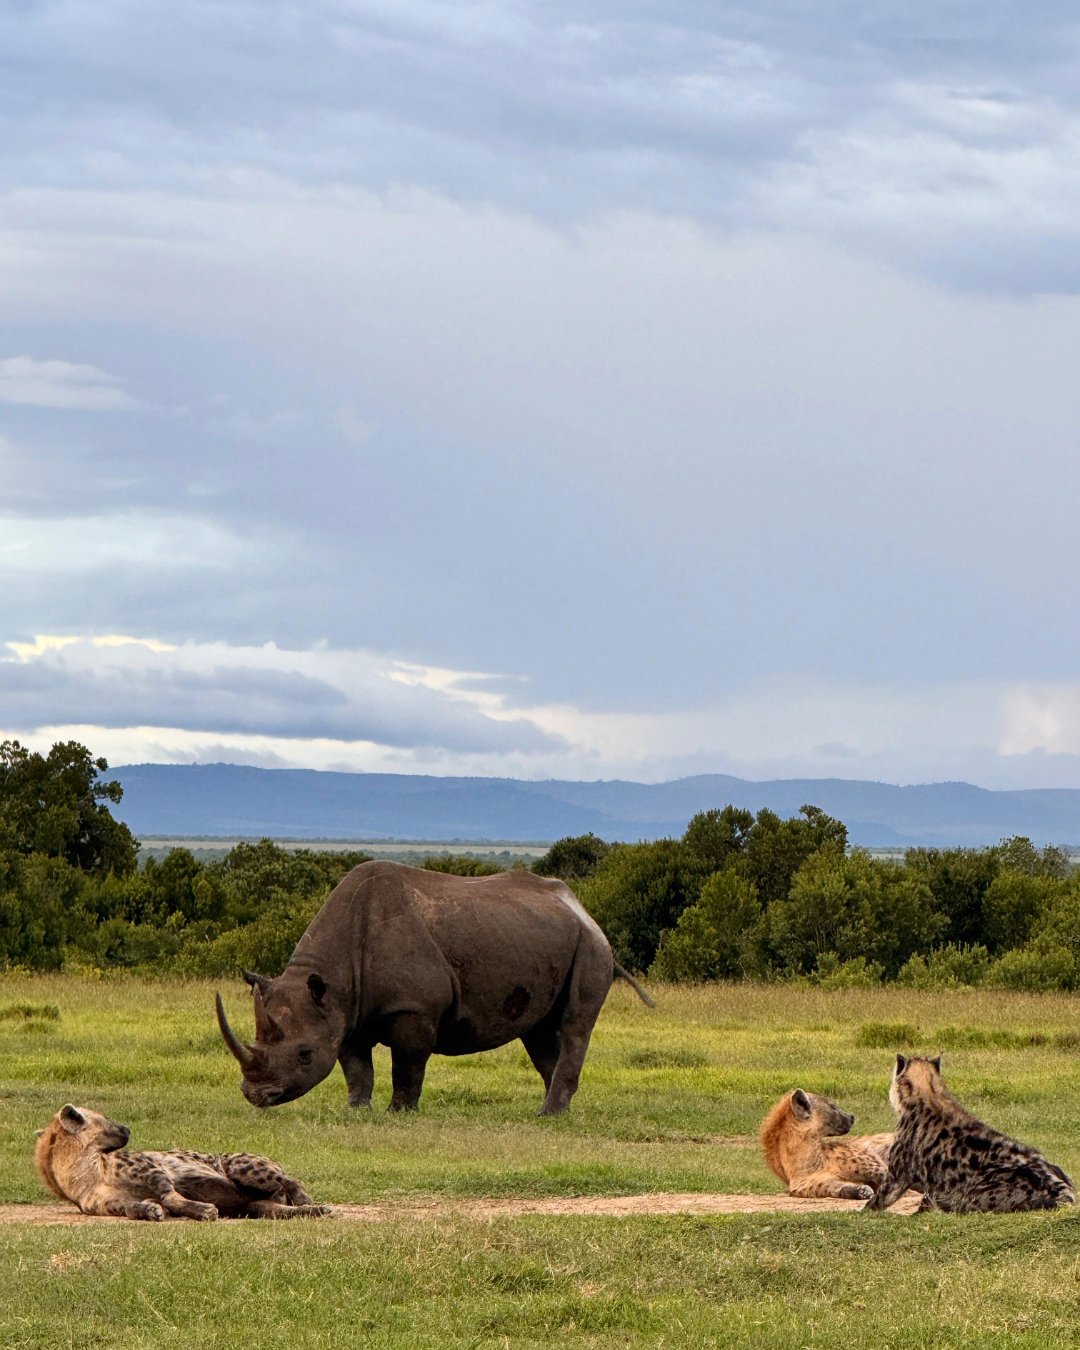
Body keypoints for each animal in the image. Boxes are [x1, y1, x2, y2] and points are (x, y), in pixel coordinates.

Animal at [216, 860, 652, 1115]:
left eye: (304, 1054)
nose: (256, 1096)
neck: (333, 976)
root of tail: (582, 908)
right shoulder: (343, 1010)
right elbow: (356, 1068)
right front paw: (357, 1110)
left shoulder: (412, 1007)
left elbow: (408, 1064)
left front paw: (399, 1113)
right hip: (550, 938)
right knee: (540, 1031)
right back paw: (555, 1111)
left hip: (591, 946)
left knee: (575, 1024)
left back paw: (549, 1113)